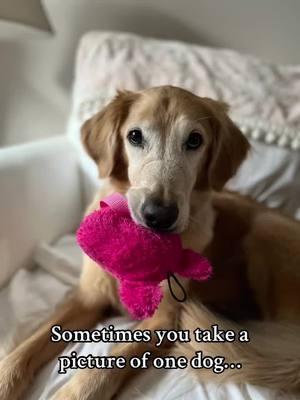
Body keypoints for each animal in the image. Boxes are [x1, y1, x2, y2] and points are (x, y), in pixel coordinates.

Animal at [0, 85, 300, 400]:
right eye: (135, 136)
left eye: (195, 140)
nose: (159, 215)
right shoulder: (88, 297)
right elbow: (32, 341)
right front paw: (6, 379)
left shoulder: (164, 318)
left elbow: (112, 360)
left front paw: (74, 393)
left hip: (266, 229)